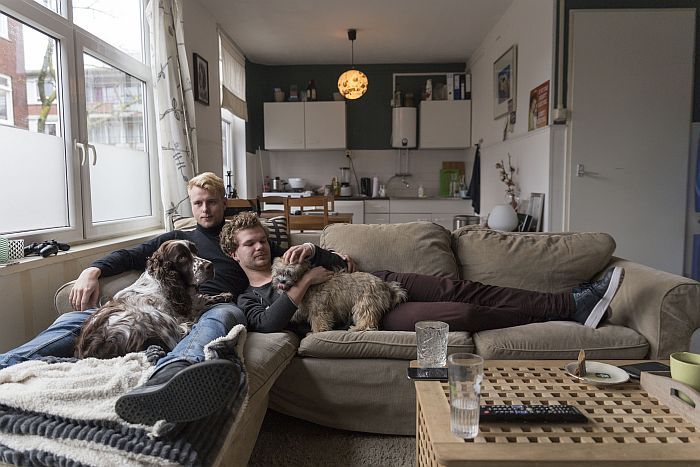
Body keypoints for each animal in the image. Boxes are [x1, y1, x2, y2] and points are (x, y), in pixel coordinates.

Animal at [75, 240, 233, 359]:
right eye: (181, 257)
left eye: (196, 251)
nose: (210, 266)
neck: (163, 281)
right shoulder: (177, 315)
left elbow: (201, 299)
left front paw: (224, 295)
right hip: (154, 318)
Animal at [271, 258, 407, 333]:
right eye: (278, 272)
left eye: (290, 273)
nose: (281, 281)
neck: (308, 285)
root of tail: (385, 285)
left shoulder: (319, 308)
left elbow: (319, 320)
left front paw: (318, 331)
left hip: (365, 304)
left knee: (368, 322)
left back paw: (356, 328)